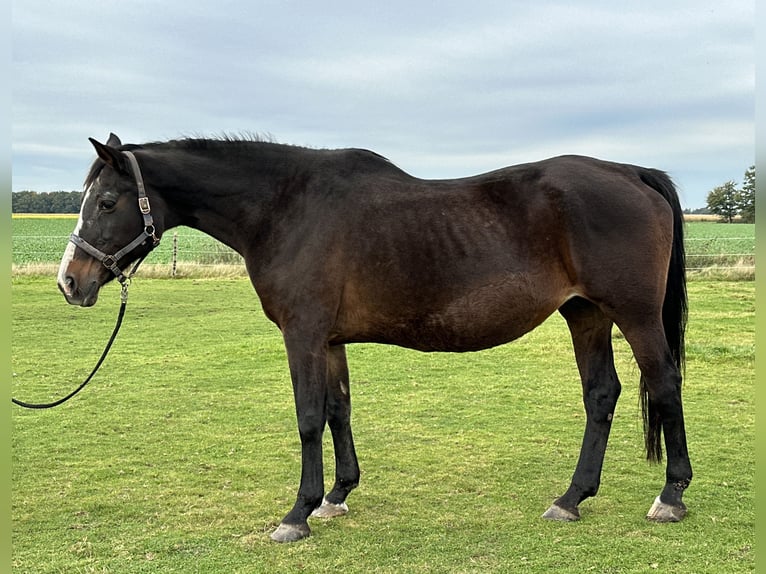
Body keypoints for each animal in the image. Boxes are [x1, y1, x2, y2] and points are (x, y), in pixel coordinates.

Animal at [57, 135, 692, 544]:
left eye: (107, 201)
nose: (70, 281)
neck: (287, 208)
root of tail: (631, 173)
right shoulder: (330, 341)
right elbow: (339, 409)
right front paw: (337, 496)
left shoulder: (303, 335)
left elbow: (308, 417)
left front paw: (297, 513)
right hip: (586, 314)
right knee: (602, 395)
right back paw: (570, 499)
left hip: (633, 315)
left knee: (664, 383)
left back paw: (671, 496)